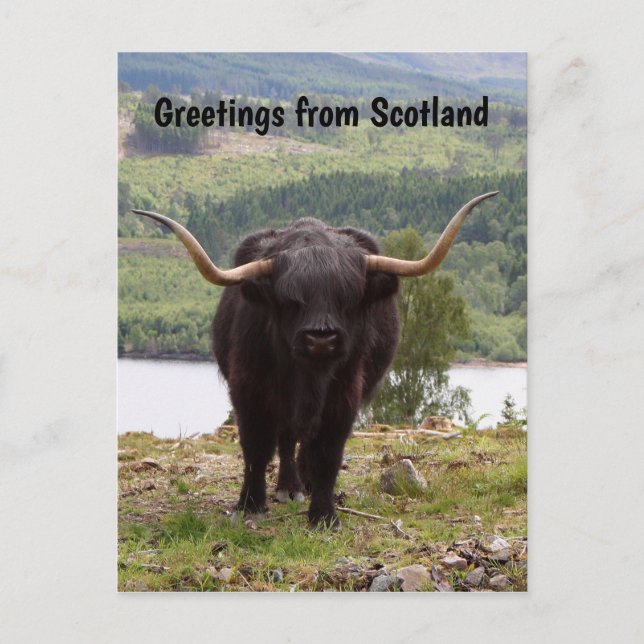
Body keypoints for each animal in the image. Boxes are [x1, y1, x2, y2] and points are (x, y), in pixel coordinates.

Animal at [133, 191, 497, 527]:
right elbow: (255, 447)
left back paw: (303, 486)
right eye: (289, 299)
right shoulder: (249, 388)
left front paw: (323, 515)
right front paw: (250, 505)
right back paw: (288, 487)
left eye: (348, 296)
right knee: (285, 438)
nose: (321, 337)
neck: (308, 378)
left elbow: (328, 453)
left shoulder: (345, 394)